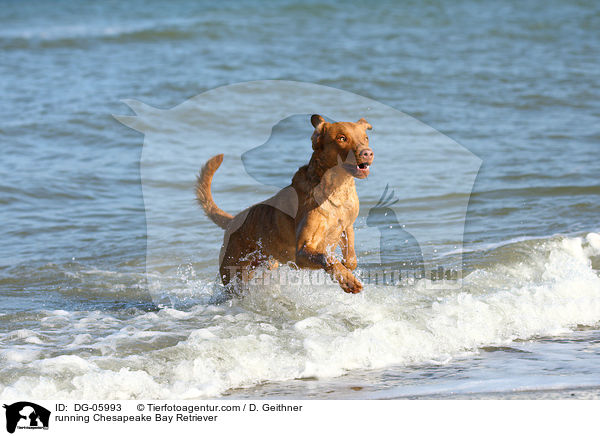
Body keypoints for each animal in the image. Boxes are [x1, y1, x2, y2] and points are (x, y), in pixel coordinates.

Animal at [197, 115, 372, 292]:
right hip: (234, 270)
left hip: (267, 264)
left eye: (365, 138)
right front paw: (347, 279)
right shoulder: (302, 250)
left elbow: (351, 259)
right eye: (341, 138)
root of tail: (233, 220)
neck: (337, 189)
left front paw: (346, 268)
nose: (367, 153)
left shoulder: (347, 226)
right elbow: (327, 258)